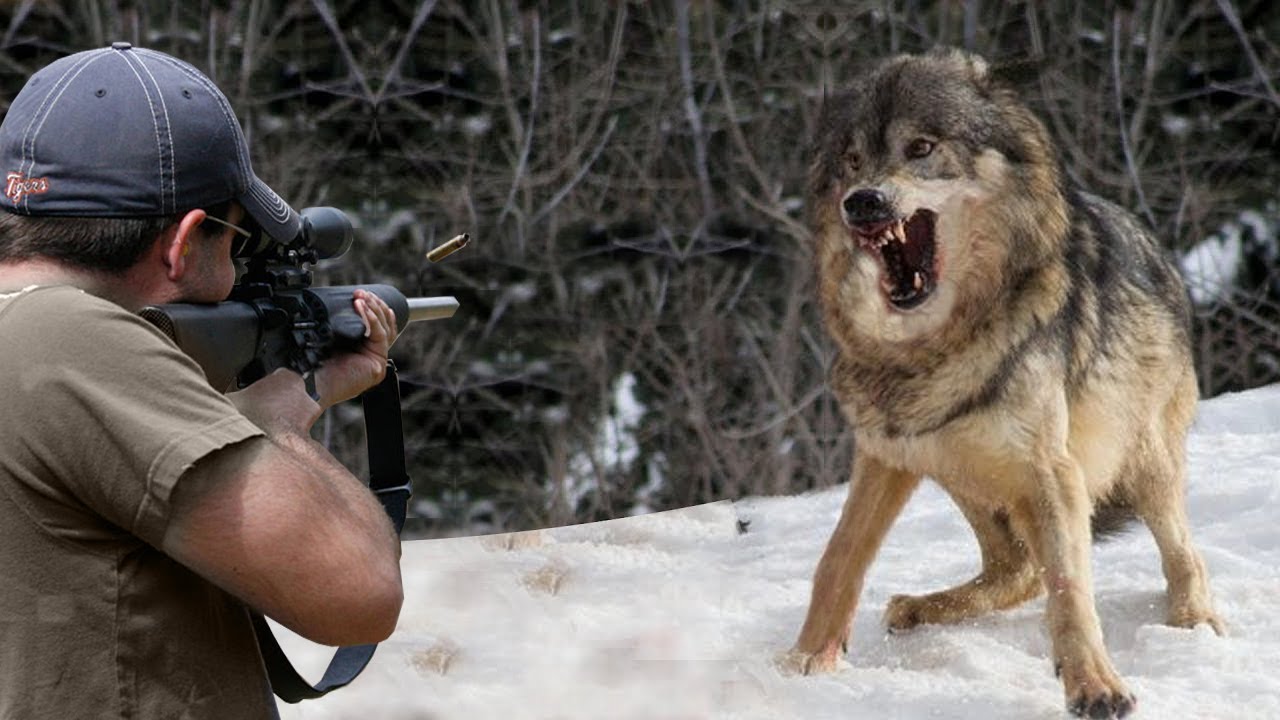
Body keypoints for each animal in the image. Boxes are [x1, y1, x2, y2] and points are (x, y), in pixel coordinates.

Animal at [783, 47, 1223, 712]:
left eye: (921, 147)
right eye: (852, 162)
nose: (862, 202)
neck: (932, 348)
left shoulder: (1051, 470)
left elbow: (1069, 588)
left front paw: (1096, 685)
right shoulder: (886, 453)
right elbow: (838, 556)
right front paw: (804, 660)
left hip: (1138, 458)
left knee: (1180, 554)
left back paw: (1194, 622)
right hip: (955, 462)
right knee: (1017, 569)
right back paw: (919, 607)